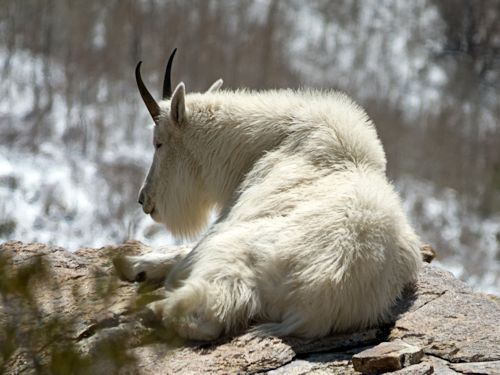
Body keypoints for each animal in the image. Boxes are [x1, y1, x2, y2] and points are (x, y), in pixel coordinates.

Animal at [114, 49, 422, 340]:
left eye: (158, 143)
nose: (144, 199)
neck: (266, 142)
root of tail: (326, 290)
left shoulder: (226, 224)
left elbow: (183, 256)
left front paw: (133, 263)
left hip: (235, 249)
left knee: (209, 309)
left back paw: (152, 311)